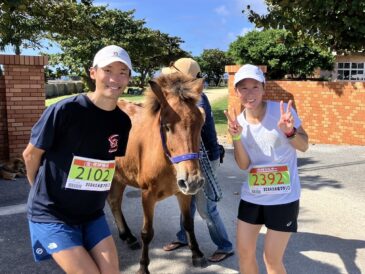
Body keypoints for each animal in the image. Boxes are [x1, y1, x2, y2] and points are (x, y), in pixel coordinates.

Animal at [108, 73, 206, 274]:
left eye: (201, 124)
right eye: (166, 126)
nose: (193, 180)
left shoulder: (183, 194)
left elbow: (188, 224)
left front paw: (196, 253)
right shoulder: (147, 195)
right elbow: (147, 233)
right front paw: (143, 267)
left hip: (119, 177)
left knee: (114, 201)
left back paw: (128, 236)